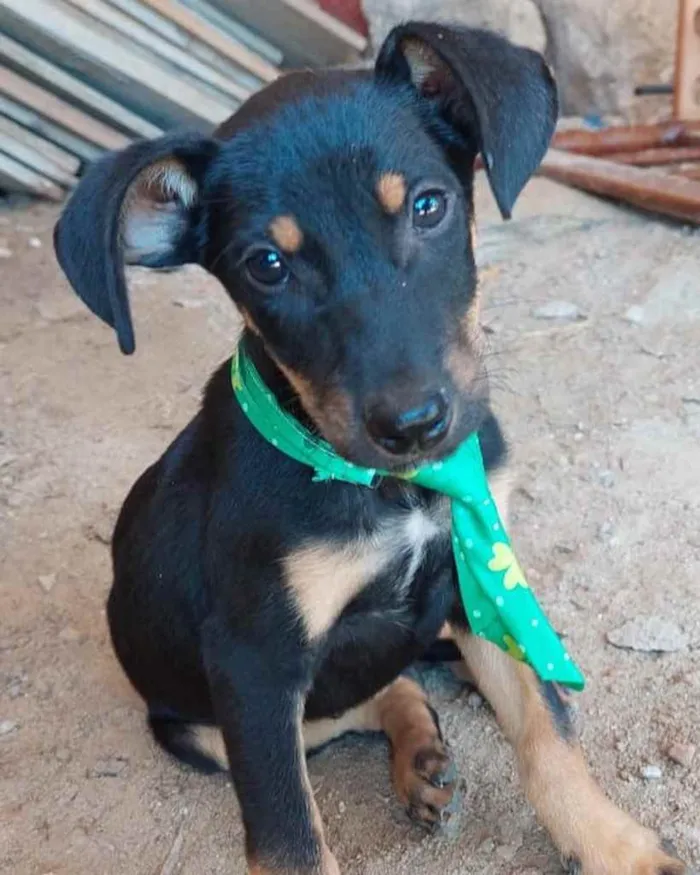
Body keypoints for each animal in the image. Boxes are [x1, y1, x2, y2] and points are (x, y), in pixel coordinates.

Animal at [54, 20, 688, 875]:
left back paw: (424, 751)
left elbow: (545, 727)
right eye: (267, 264)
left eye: (429, 205)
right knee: (358, 702)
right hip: (193, 724)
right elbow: (291, 838)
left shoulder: (479, 572)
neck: (402, 488)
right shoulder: (255, 665)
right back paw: (416, 749)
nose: (415, 422)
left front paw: (614, 844)